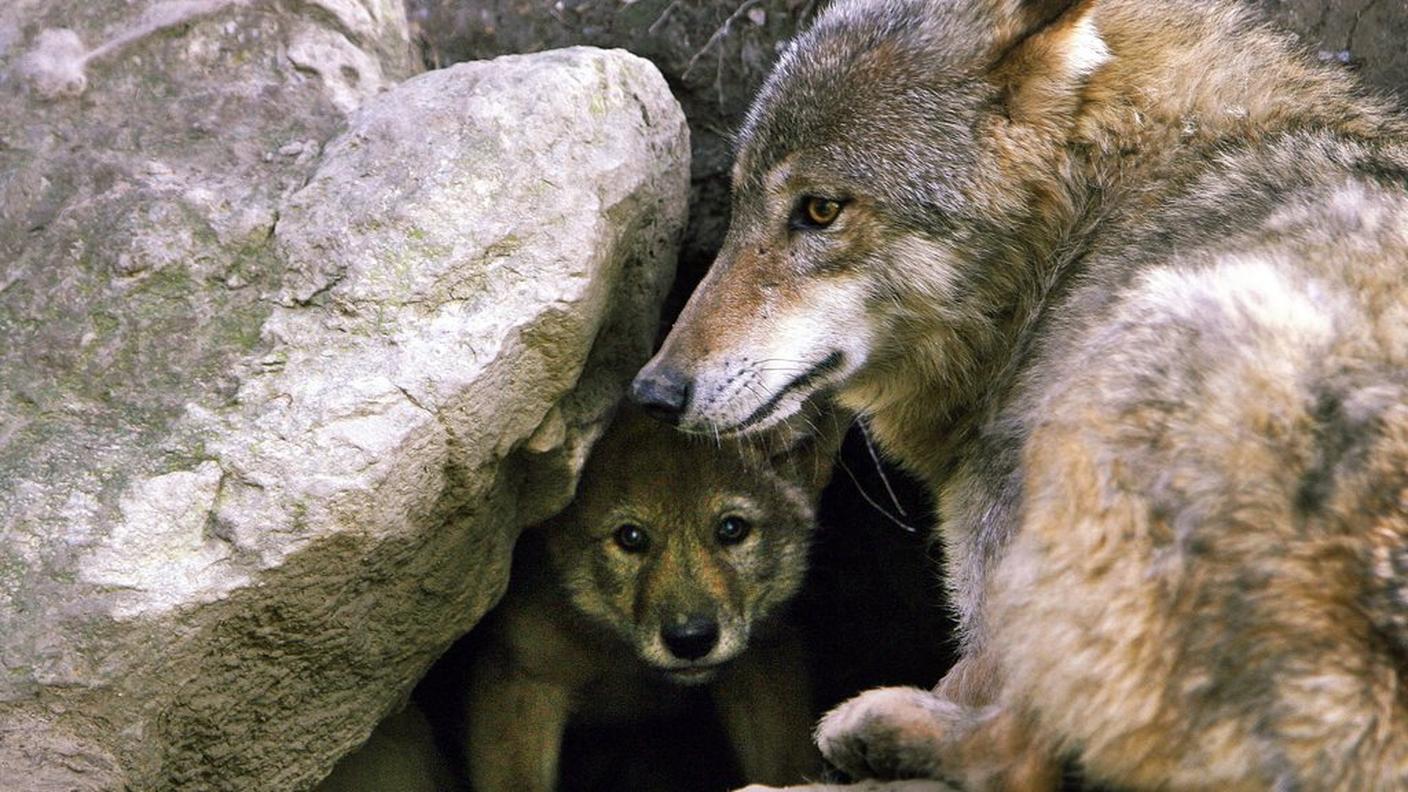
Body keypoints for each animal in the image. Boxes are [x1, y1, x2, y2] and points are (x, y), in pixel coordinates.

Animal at [464, 405, 842, 791]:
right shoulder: (523, 679)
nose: (691, 641)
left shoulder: (766, 658)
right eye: (630, 537)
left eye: (732, 529)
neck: (627, 662)